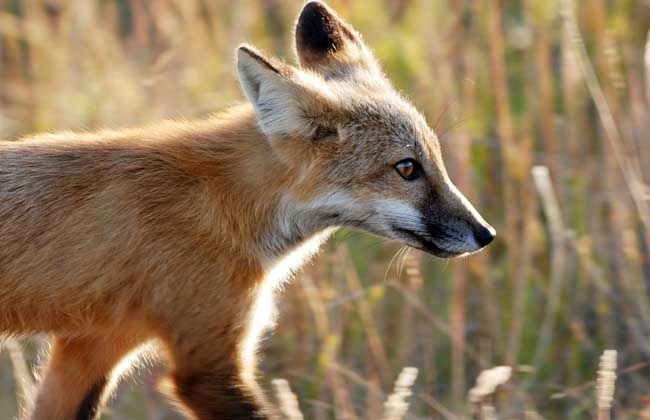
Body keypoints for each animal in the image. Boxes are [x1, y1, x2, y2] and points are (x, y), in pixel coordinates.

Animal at [0, 1, 492, 418]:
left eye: (436, 159)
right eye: (407, 168)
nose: (486, 234)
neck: (225, 205)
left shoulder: (92, 347)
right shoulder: (205, 363)